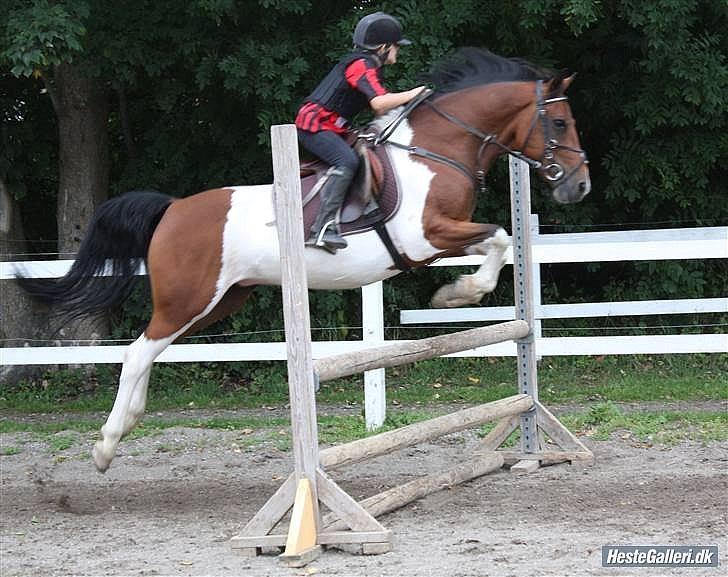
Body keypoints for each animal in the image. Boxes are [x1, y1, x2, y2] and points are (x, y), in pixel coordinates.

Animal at [18, 49, 592, 470]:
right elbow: (499, 238)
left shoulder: (444, 239)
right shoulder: (426, 236)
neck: (436, 148)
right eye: (561, 122)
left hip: (221, 302)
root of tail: (172, 210)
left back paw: (126, 425)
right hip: (189, 299)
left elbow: (498, 241)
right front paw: (458, 294)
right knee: (137, 351)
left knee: (150, 350)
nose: (580, 186)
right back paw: (107, 444)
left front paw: (456, 293)